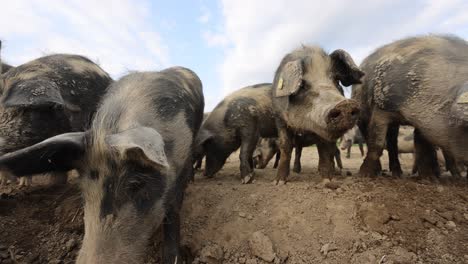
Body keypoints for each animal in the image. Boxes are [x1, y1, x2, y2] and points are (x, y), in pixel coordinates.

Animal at [270, 45, 362, 184]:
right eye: (302, 85)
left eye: (337, 80)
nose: (345, 104)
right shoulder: (279, 119)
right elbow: (286, 146)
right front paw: (279, 182)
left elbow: (324, 150)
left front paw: (327, 180)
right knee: (299, 150)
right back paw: (297, 170)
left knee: (332, 151)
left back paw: (335, 171)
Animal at [354, 35, 468, 178]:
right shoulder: (382, 108)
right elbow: (376, 143)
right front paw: (363, 175)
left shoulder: (424, 119)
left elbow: (423, 146)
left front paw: (430, 178)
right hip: (361, 113)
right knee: (372, 138)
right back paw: (382, 172)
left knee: (393, 143)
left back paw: (398, 174)